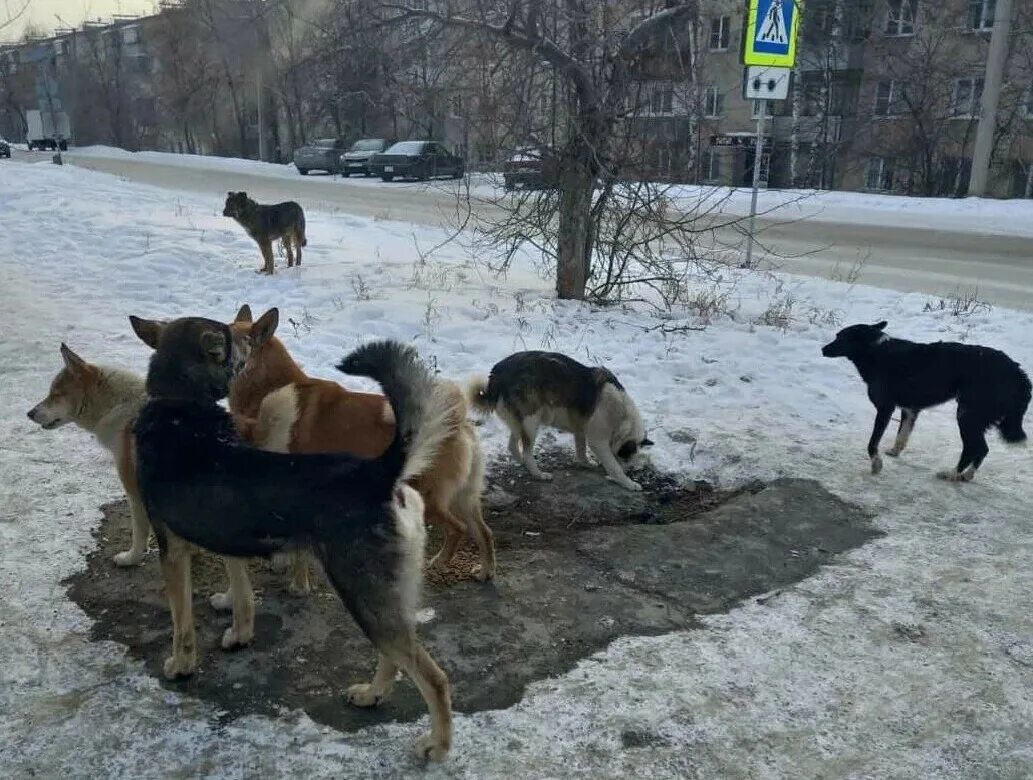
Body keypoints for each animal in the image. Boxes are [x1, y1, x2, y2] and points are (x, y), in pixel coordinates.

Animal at [27, 347, 150, 566]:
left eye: (56, 394)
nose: (29, 413)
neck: (119, 408)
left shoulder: (135, 491)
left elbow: (139, 532)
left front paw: (131, 558)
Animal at [131, 314, 454, 760]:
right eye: (232, 338)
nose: (251, 337)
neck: (180, 407)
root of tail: (379, 473)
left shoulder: (172, 550)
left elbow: (182, 625)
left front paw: (181, 666)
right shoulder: (229, 536)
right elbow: (242, 595)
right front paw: (239, 633)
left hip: (362, 592)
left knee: (433, 677)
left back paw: (437, 744)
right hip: (385, 595)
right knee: (397, 656)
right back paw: (373, 694)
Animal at [818, 318, 1028, 479]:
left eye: (840, 338)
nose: (822, 349)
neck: (876, 351)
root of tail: (1018, 372)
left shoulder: (885, 408)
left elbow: (872, 443)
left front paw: (876, 464)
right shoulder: (910, 409)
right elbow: (902, 435)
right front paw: (894, 452)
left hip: (967, 415)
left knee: (974, 448)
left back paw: (952, 474)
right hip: (976, 417)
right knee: (983, 450)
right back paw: (967, 475)